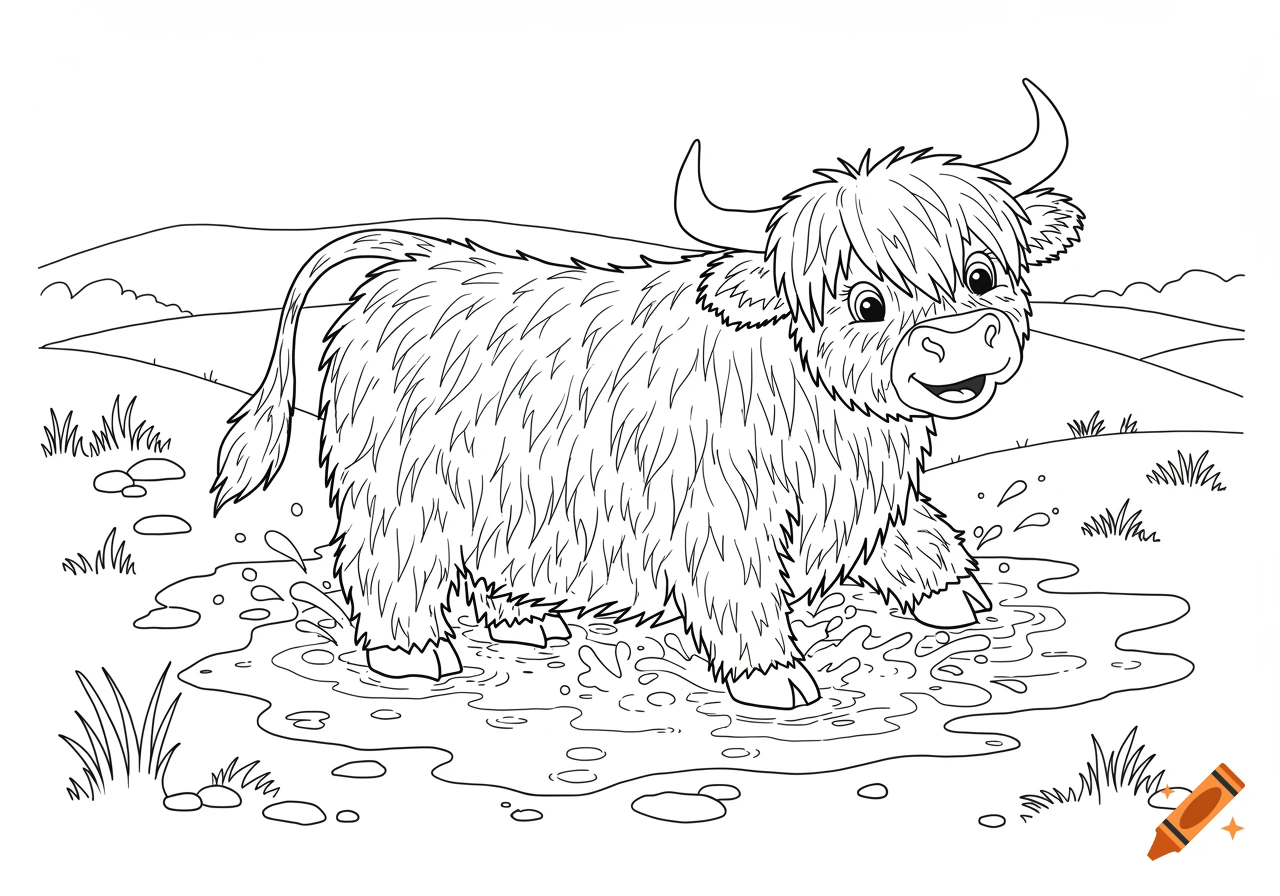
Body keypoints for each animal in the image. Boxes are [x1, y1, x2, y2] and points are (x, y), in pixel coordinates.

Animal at [213, 79, 1083, 710]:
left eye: (983, 274)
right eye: (865, 303)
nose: (961, 339)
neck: (829, 414)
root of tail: (415, 259)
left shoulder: (861, 496)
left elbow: (918, 533)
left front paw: (956, 593)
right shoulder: (722, 520)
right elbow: (743, 595)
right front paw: (773, 677)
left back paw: (524, 618)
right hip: (404, 491)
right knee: (387, 560)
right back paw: (412, 652)